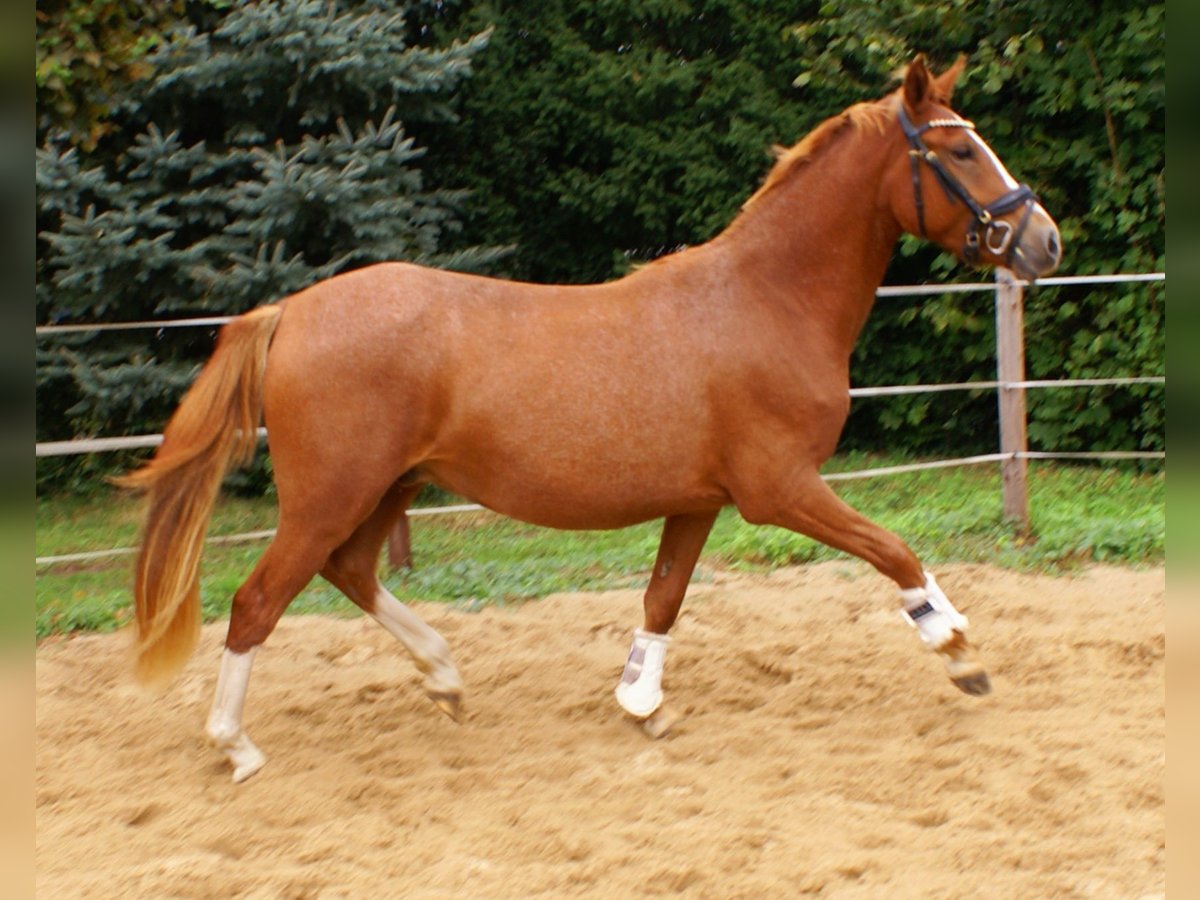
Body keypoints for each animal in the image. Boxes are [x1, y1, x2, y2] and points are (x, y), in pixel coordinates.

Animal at [121, 56, 1060, 782]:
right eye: (959, 147)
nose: (1044, 241)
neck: (765, 301)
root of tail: (288, 311)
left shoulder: (700, 500)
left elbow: (663, 597)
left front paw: (642, 703)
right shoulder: (780, 489)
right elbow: (893, 551)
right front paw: (960, 653)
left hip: (388, 487)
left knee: (349, 573)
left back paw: (445, 677)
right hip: (332, 493)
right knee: (257, 601)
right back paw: (236, 746)